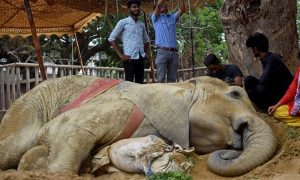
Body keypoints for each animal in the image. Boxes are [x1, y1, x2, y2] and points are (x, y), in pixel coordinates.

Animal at [0, 75, 276, 176]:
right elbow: (69, 127)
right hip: (27, 106)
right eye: (235, 94)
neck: (180, 84)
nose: (231, 151)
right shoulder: (123, 106)